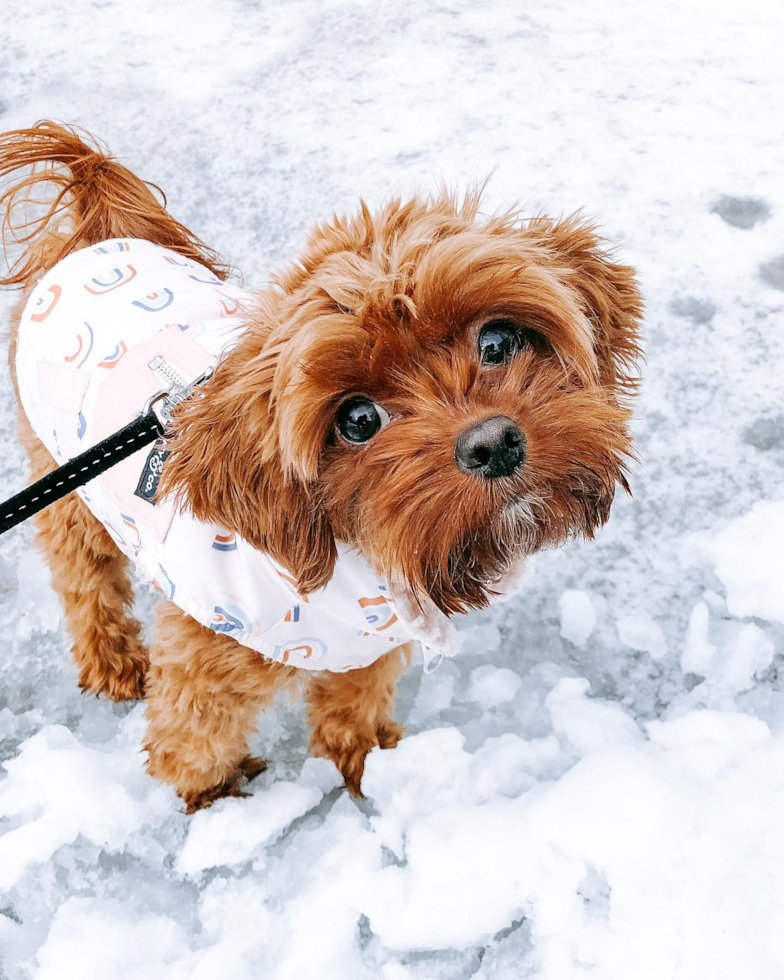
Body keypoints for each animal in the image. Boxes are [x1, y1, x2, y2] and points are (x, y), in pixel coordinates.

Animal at [0, 122, 644, 812]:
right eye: (358, 419)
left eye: (497, 341)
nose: (492, 443)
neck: (360, 560)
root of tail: (95, 239)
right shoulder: (210, 659)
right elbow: (190, 741)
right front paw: (213, 798)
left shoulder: (366, 648)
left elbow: (351, 708)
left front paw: (363, 768)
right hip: (69, 489)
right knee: (84, 578)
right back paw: (113, 662)